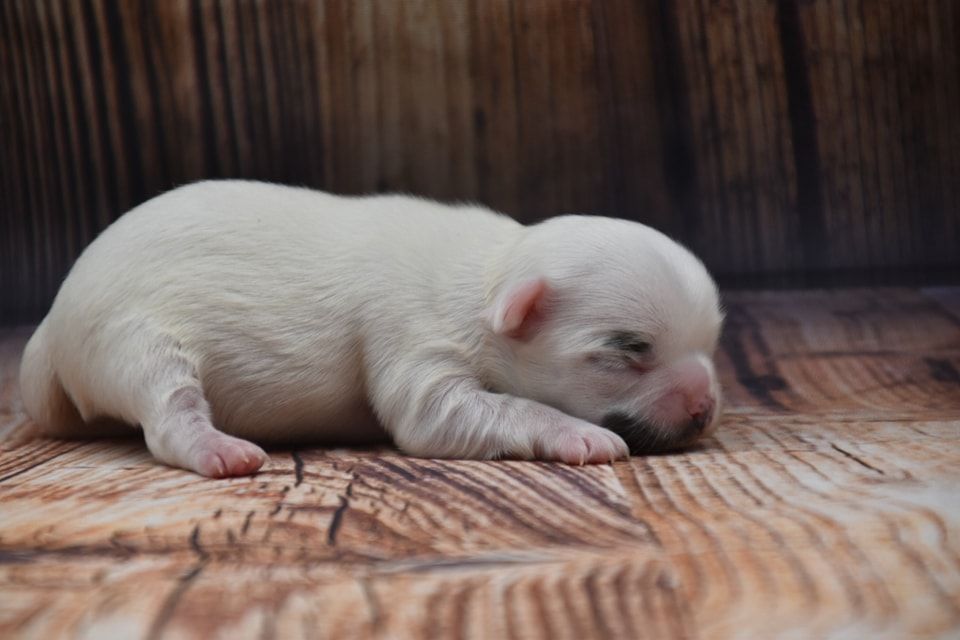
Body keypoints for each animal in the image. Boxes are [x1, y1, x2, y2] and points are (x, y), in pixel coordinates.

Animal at [18, 179, 724, 476]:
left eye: (711, 344)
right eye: (628, 351)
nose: (705, 407)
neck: (489, 277)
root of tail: (51, 327)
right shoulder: (413, 343)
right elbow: (444, 413)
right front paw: (580, 434)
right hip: (131, 340)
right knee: (167, 413)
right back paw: (219, 450)